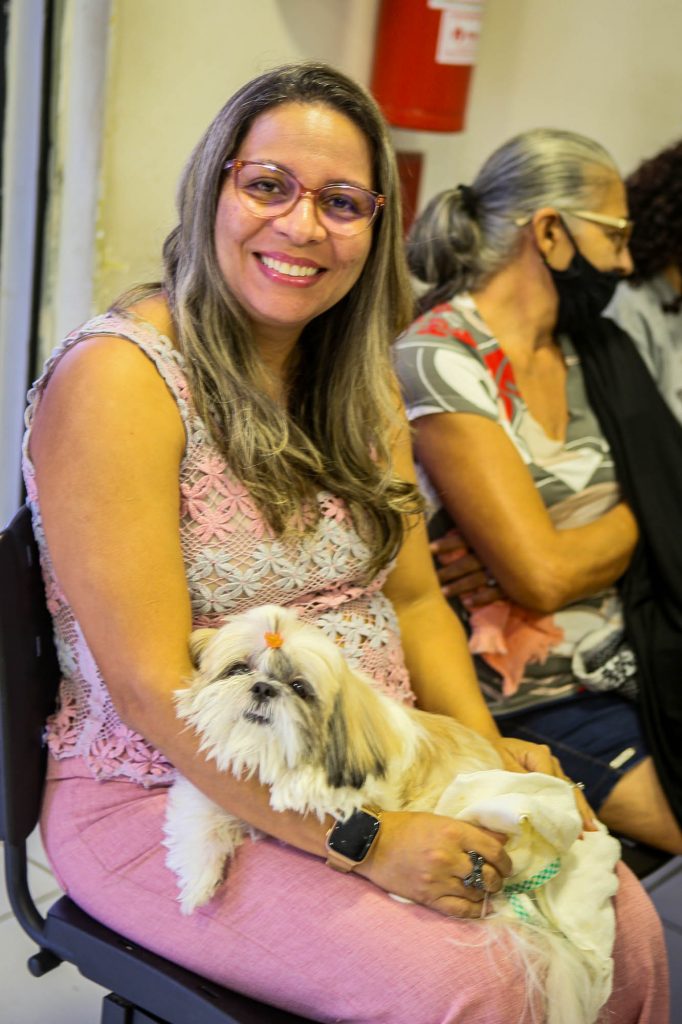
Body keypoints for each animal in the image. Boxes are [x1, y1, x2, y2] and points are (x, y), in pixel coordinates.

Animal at [163, 604, 621, 1024]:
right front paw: (198, 883)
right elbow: (201, 810)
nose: (261, 687)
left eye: (299, 687)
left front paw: (299, 784)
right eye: (238, 668)